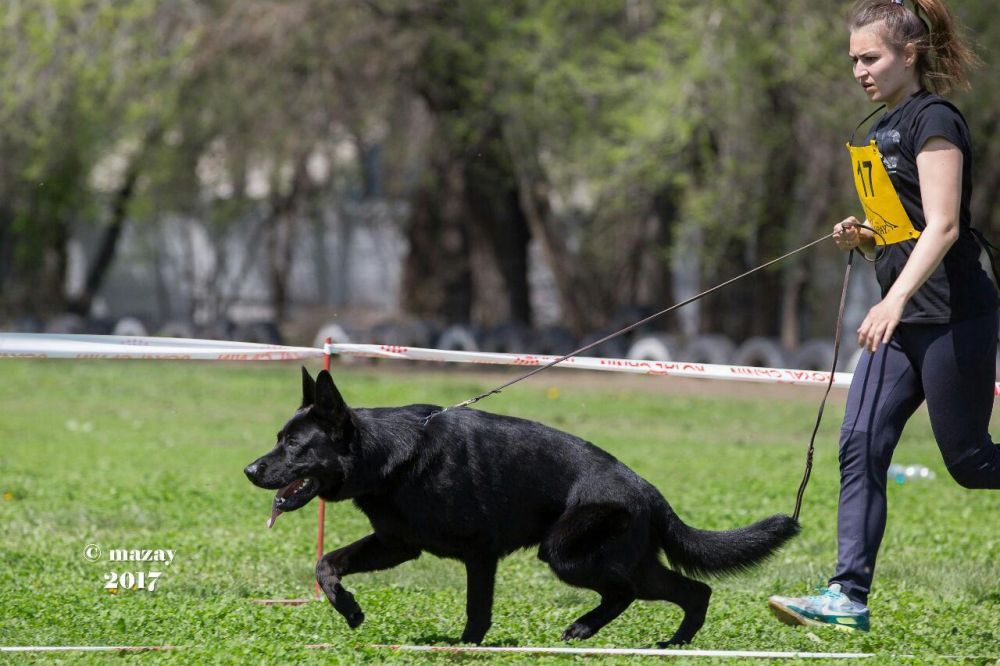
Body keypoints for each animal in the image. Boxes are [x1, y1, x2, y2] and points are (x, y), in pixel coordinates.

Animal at [246, 368, 800, 644]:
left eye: (295, 445)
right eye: (278, 438)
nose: (250, 470)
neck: (384, 454)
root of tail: (647, 490)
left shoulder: (478, 555)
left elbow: (477, 609)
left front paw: (464, 647)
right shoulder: (397, 544)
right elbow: (326, 563)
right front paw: (349, 609)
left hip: (567, 554)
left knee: (645, 591)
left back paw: (622, 634)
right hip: (611, 558)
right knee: (685, 591)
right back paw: (660, 641)